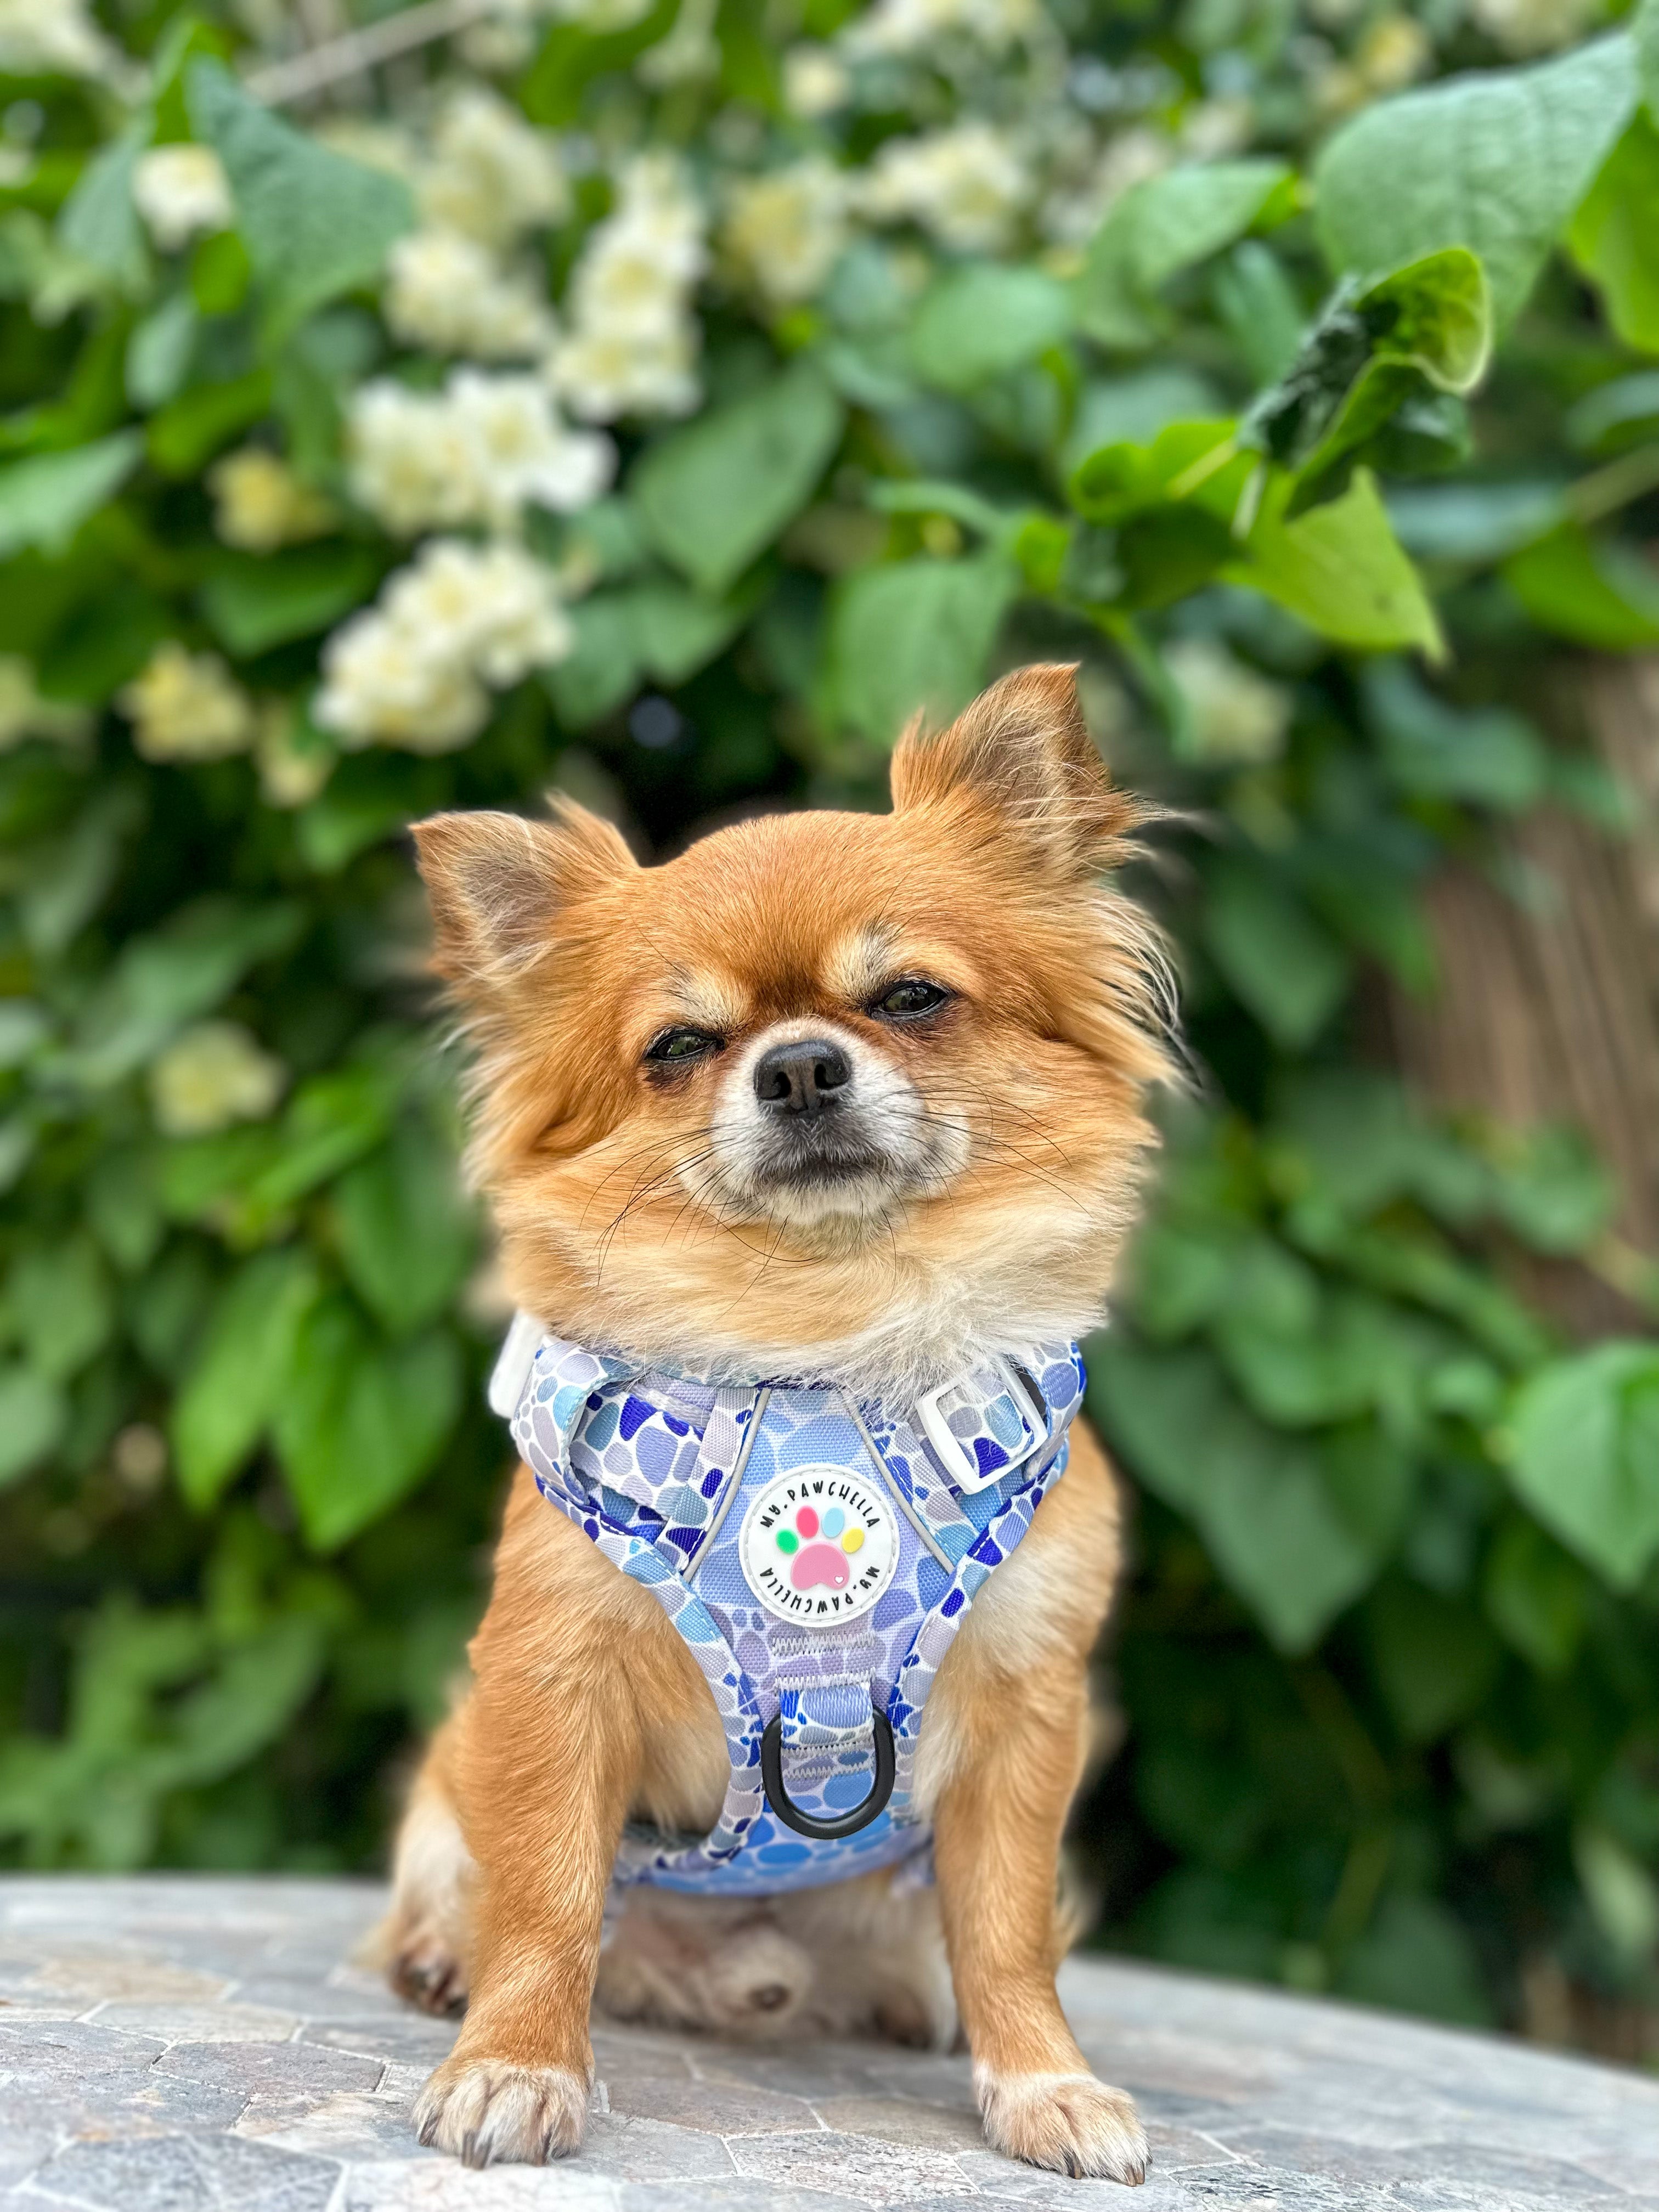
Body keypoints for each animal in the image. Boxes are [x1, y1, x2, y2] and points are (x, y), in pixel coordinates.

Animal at [378, 662, 1173, 2182]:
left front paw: (1044, 2084)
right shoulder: (549, 1683)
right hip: (454, 1786)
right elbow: (546, 1901)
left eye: (912, 996)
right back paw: (454, 1966)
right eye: (680, 1047)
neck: (823, 1348)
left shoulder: (1025, 1719)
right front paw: (513, 2064)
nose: (799, 1068)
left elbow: (1010, 1931)